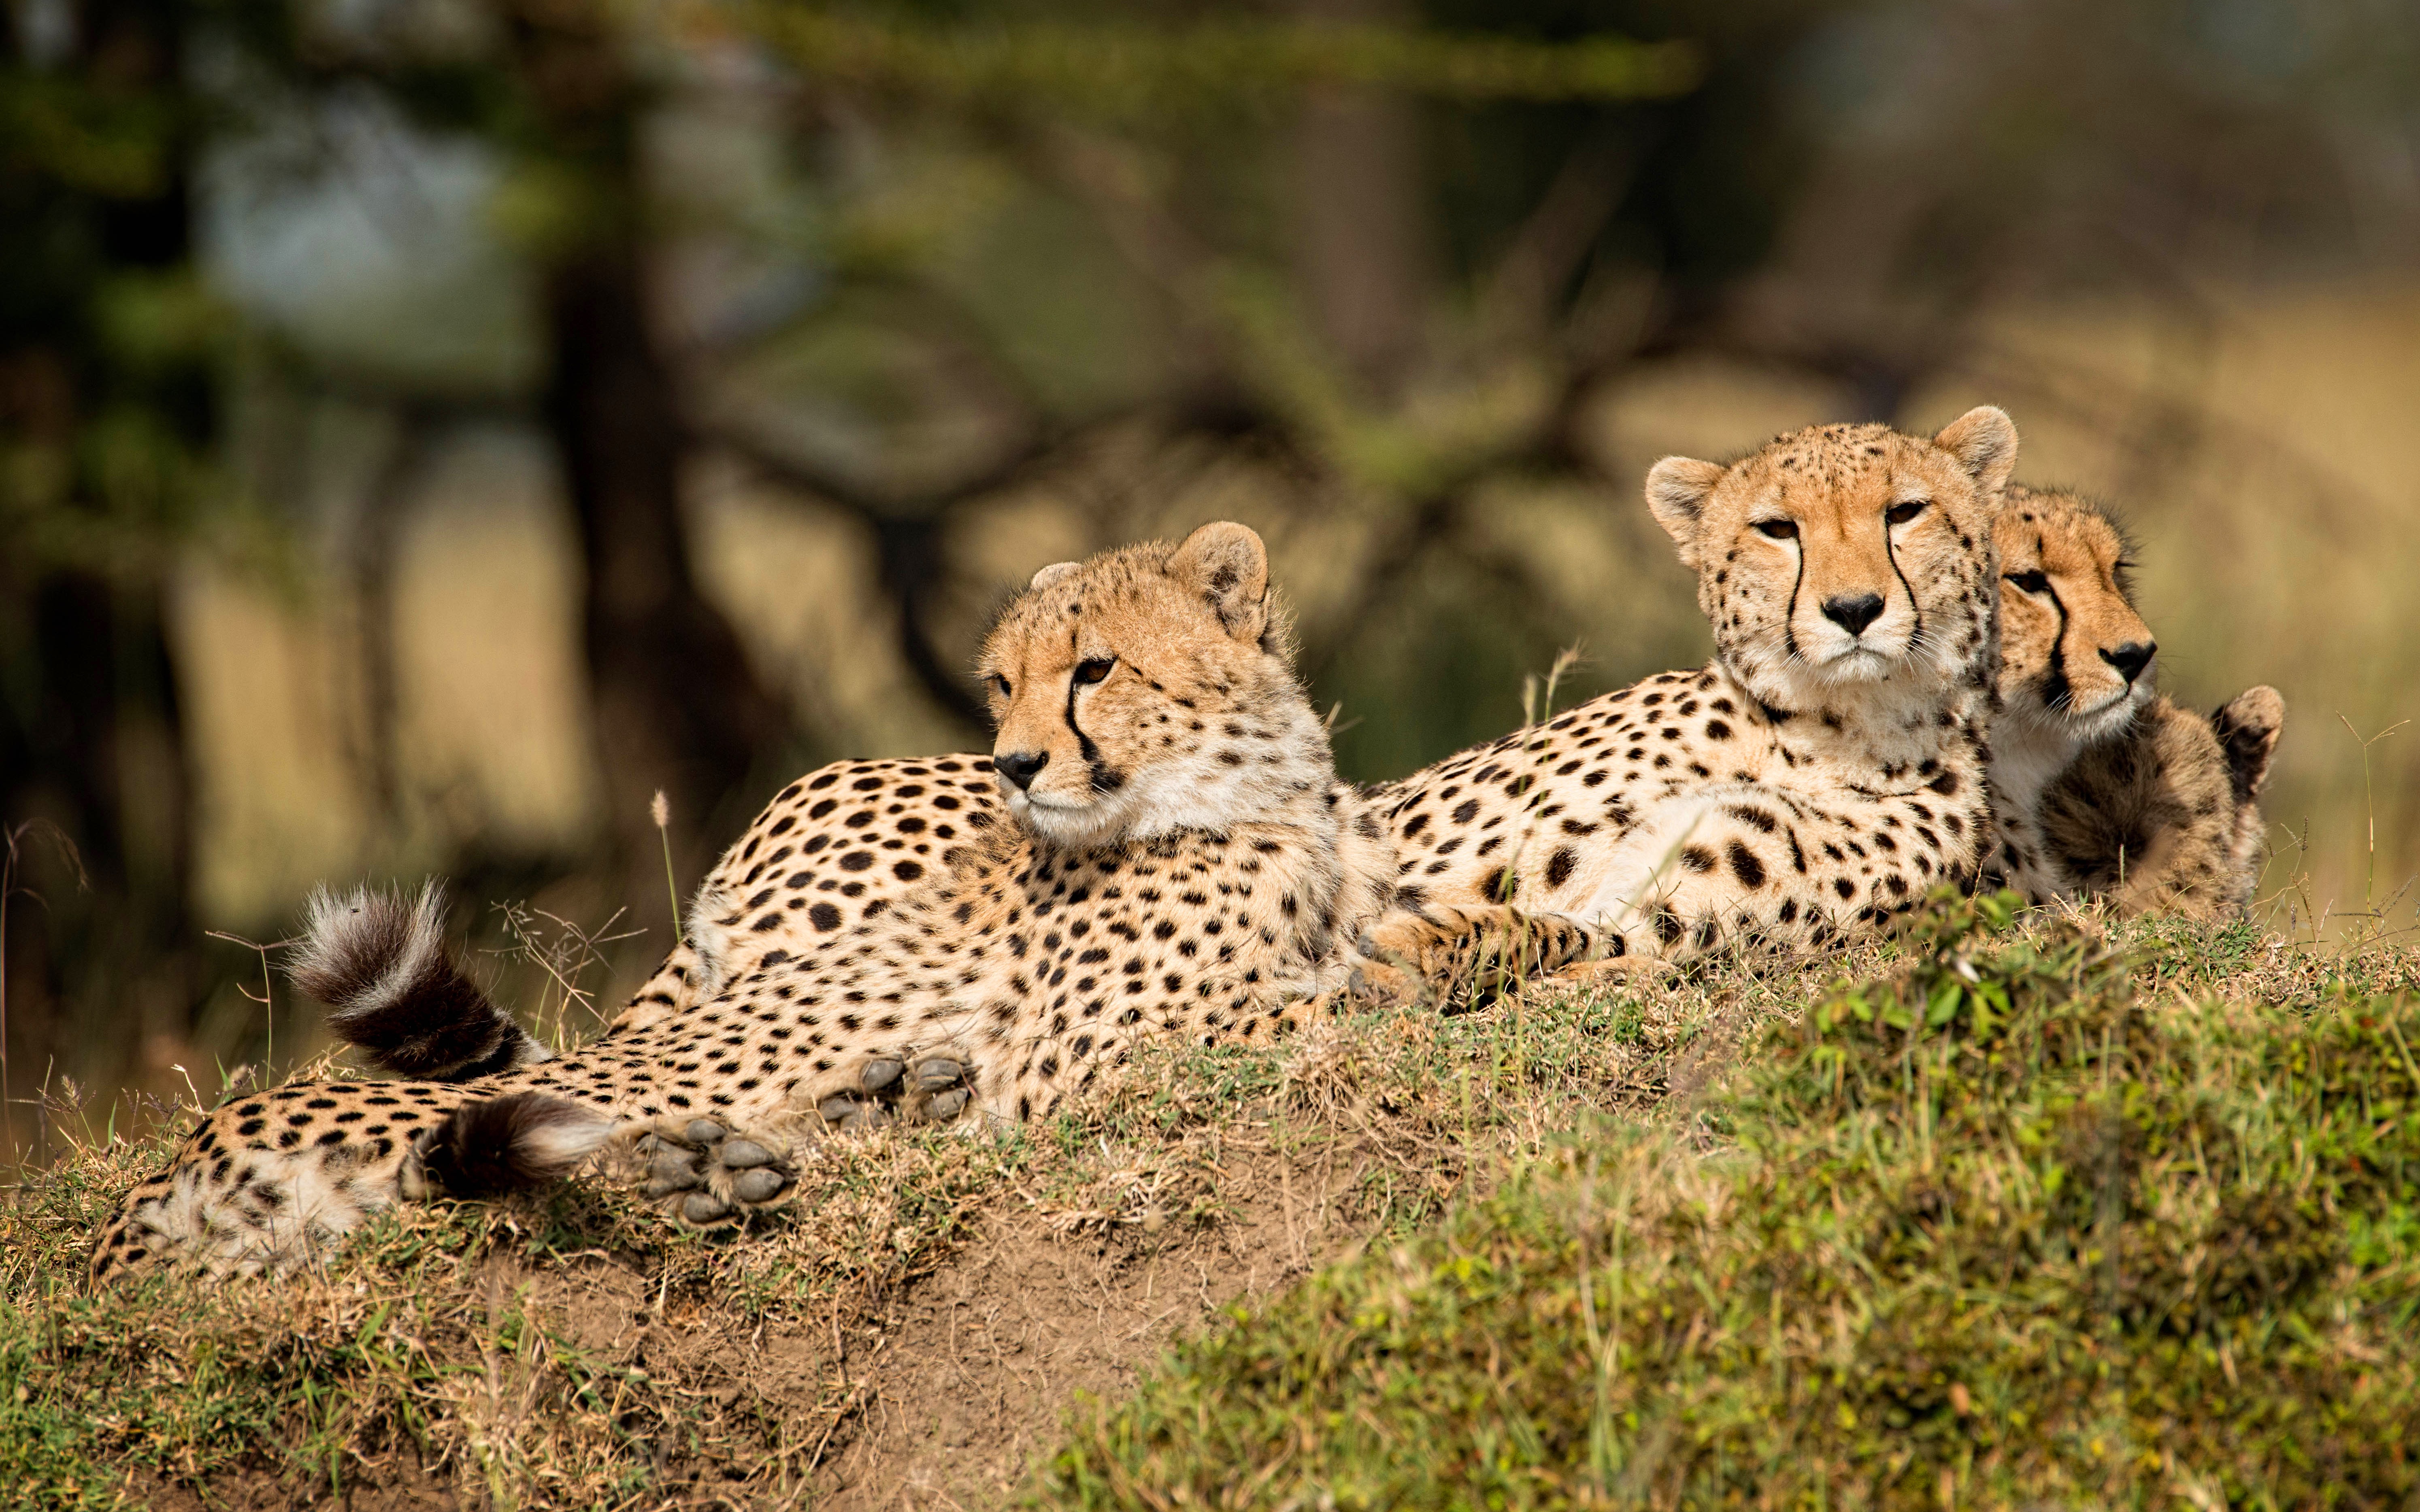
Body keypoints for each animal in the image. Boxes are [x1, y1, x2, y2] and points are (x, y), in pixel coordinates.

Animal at [89, 525, 1403, 1277]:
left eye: (1094, 669)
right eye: (1000, 683)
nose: (1016, 765)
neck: (1244, 794)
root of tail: (179, 1163)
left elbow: (1360, 973)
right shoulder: (1074, 1069)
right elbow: (1324, 1010)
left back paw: (860, 1113)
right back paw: (717, 1166)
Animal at [1355, 404, 2013, 992]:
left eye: (1904, 513)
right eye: (1777, 528)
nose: (1853, 609)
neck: (1832, 735)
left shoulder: (1665, 920)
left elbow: (1567, 932)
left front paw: (1408, 956)